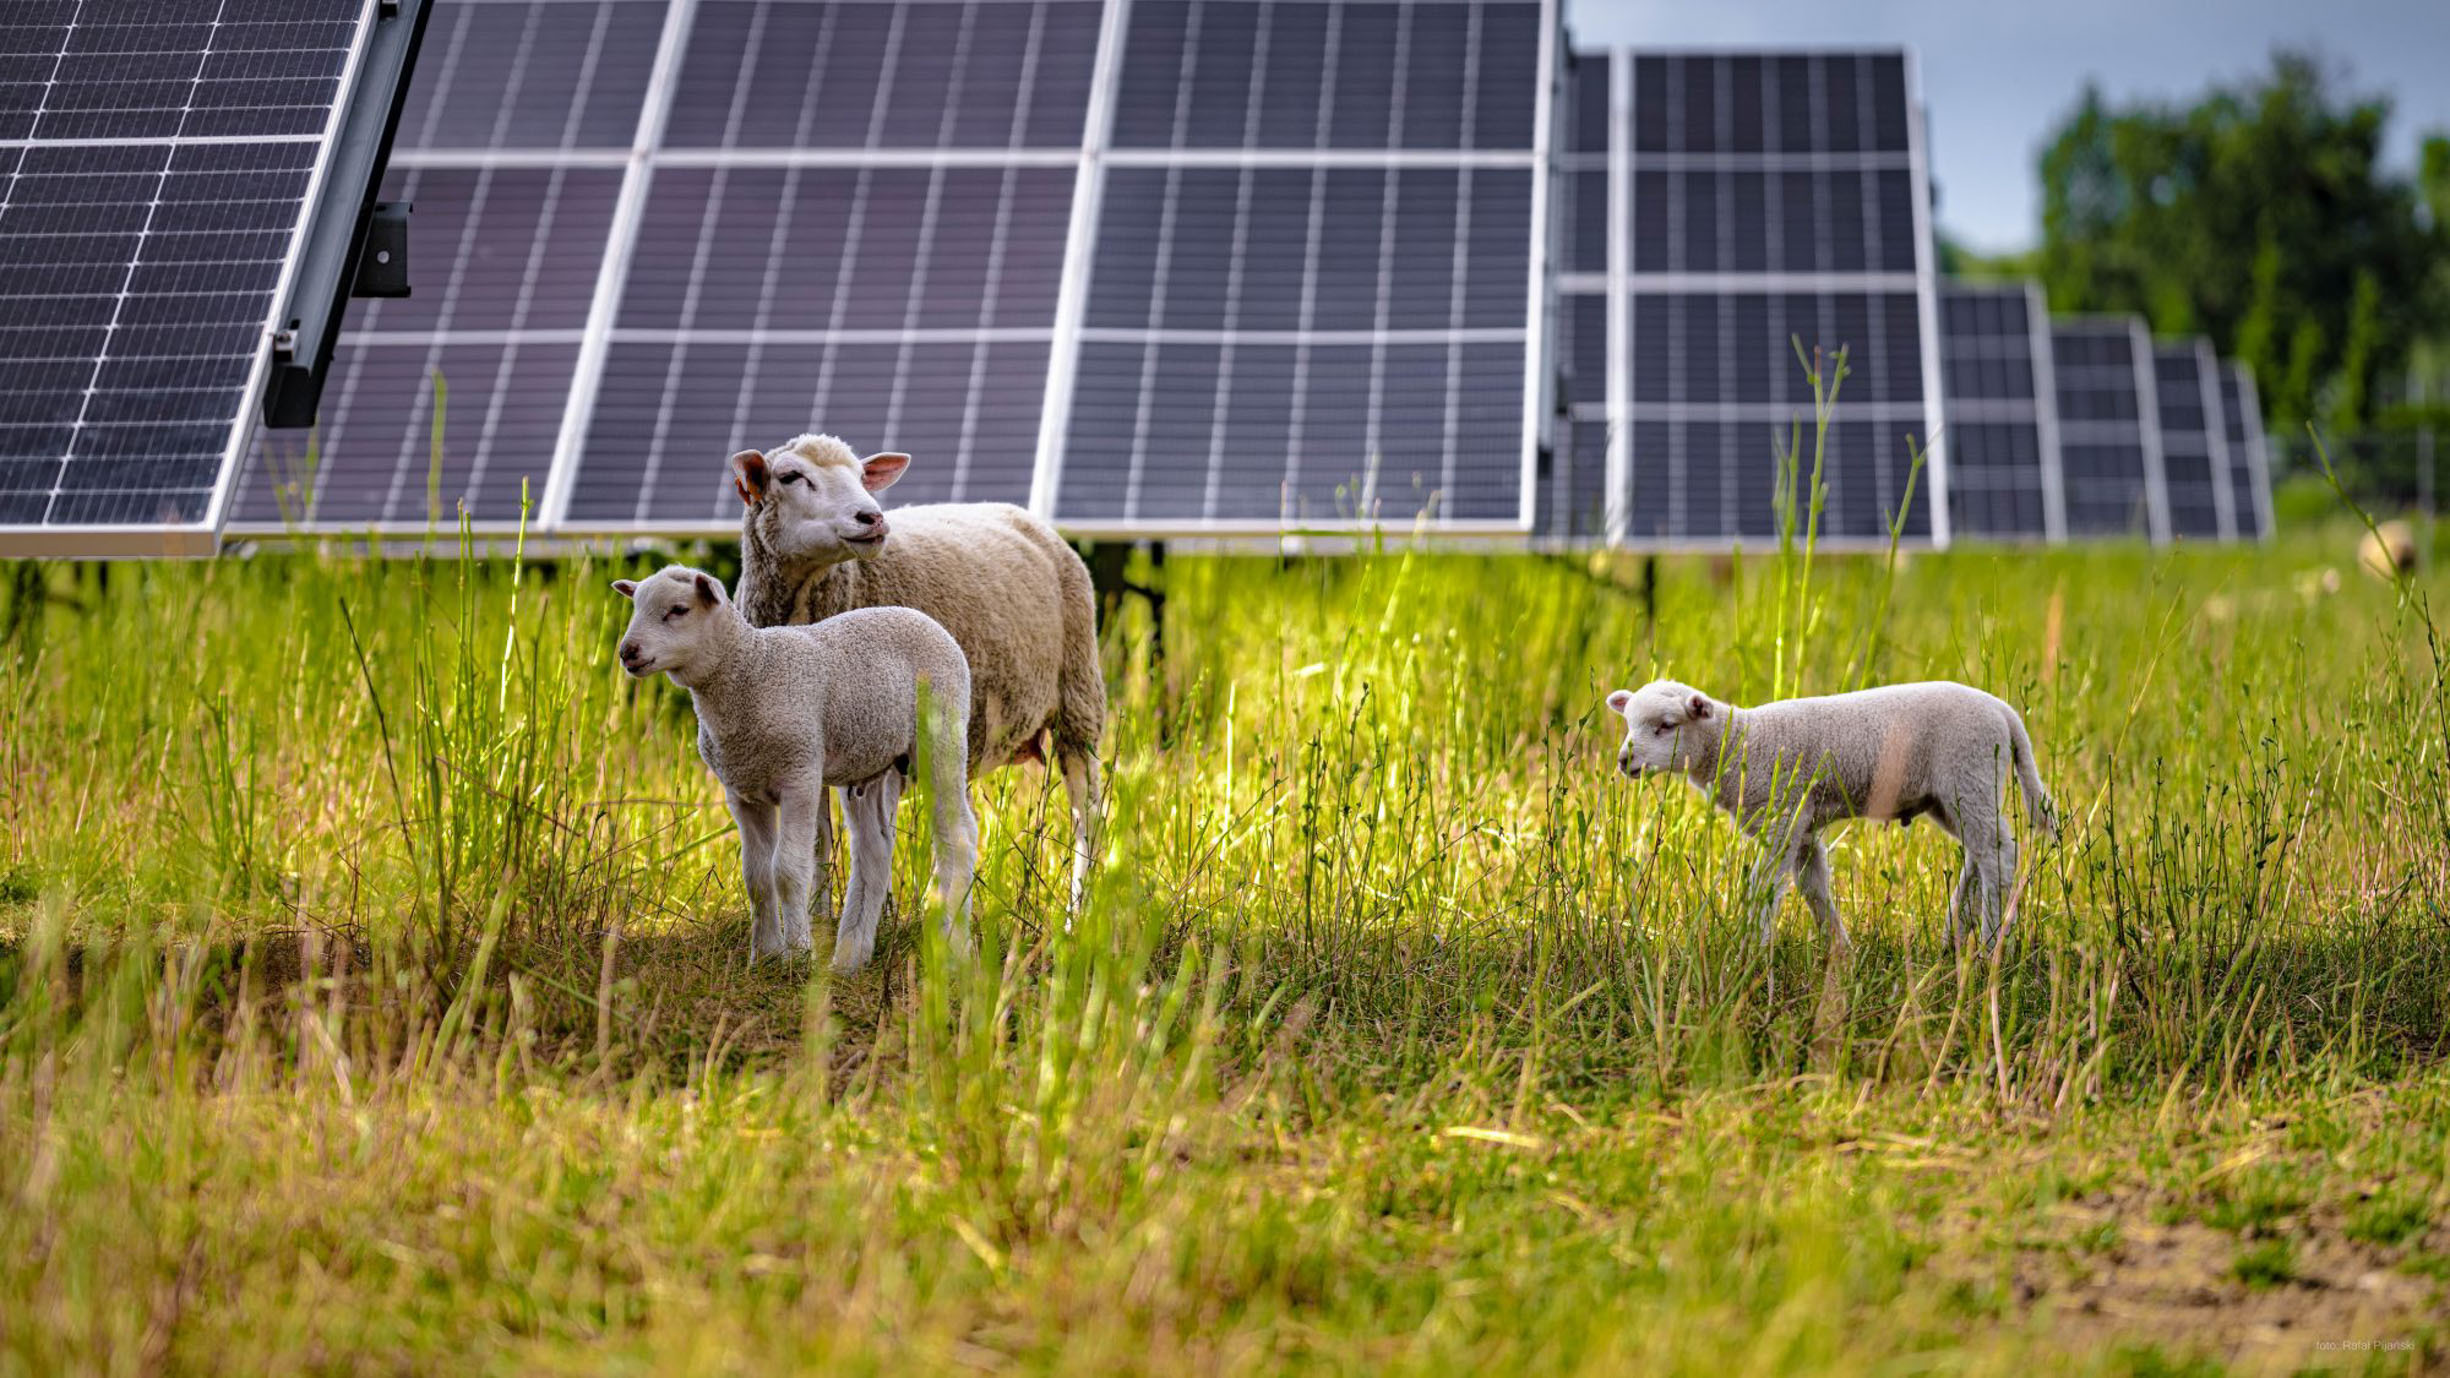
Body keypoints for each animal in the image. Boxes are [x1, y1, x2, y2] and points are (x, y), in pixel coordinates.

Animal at [614, 565, 978, 974]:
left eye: (678, 609)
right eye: (635, 606)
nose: (627, 652)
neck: (751, 670)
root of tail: (924, 619)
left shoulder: (799, 776)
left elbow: (787, 871)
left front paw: (798, 955)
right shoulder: (743, 792)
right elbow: (756, 877)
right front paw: (765, 956)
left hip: (942, 737)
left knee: (959, 837)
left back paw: (954, 949)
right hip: (869, 761)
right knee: (875, 849)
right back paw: (850, 957)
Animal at [728, 434, 1103, 919]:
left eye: (861, 475)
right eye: (790, 476)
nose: (871, 517)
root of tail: (1020, 515)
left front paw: (874, 915)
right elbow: (817, 839)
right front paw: (820, 916)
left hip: (1077, 699)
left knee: (1086, 813)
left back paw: (1078, 915)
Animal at [1604, 679, 2058, 950]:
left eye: (1666, 725)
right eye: (1628, 723)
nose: (1624, 760)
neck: (1739, 744)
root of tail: (2004, 712)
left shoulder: (1782, 819)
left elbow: (1764, 887)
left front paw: (1752, 950)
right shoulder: (1802, 826)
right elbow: (1814, 888)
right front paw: (1841, 951)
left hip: (1970, 772)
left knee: (1998, 855)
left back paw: (1991, 943)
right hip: (1952, 795)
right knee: (1979, 853)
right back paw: (1955, 933)